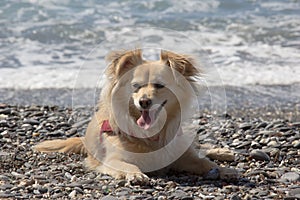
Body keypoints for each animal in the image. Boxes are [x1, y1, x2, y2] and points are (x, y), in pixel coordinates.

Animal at [34, 48, 238, 183]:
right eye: (135, 86)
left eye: (160, 85)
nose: (144, 102)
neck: (152, 135)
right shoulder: (111, 160)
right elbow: (127, 165)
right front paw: (135, 173)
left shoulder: (182, 157)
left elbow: (203, 162)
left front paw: (223, 169)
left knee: (195, 146)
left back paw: (222, 152)